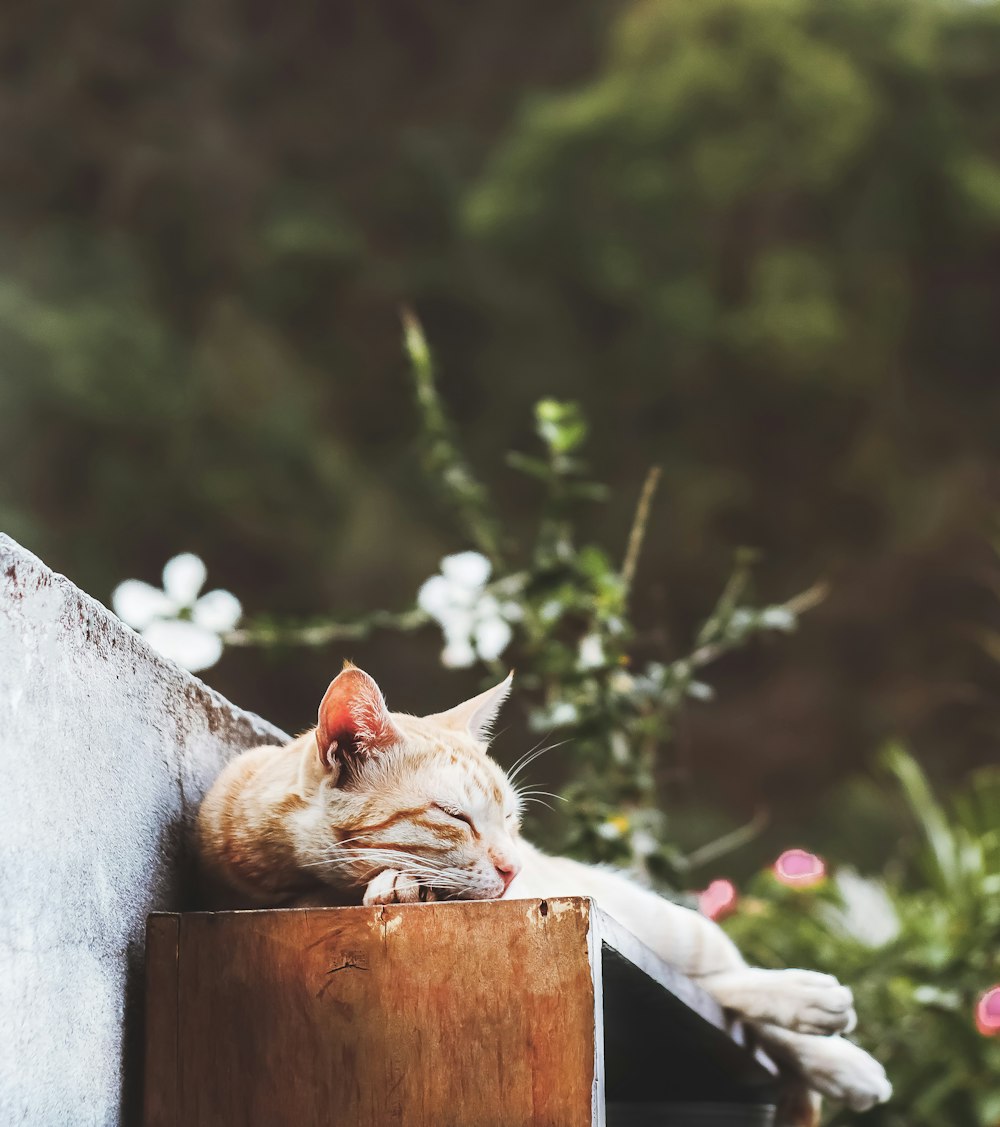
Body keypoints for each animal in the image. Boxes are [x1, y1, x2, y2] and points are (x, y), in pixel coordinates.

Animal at [195, 662, 892, 1113]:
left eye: (511, 818)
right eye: (456, 817)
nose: (514, 870)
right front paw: (391, 886)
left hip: (664, 922)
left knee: (722, 978)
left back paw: (827, 1031)